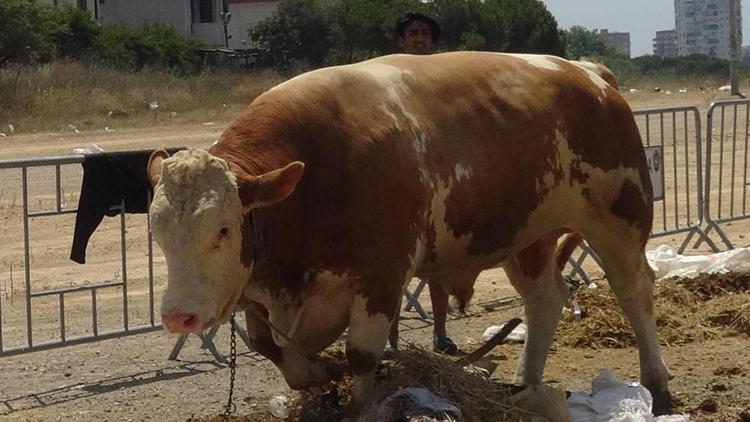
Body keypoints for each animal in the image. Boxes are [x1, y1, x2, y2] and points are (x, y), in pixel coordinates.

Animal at [150, 51, 672, 414]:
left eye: (222, 228)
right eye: (158, 233)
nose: (179, 317)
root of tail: (588, 73)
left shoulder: (381, 274)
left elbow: (362, 355)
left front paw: (359, 403)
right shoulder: (261, 291)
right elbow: (274, 351)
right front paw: (319, 371)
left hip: (620, 217)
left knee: (634, 290)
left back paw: (656, 381)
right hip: (528, 237)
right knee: (545, 300)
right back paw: (525, 383)